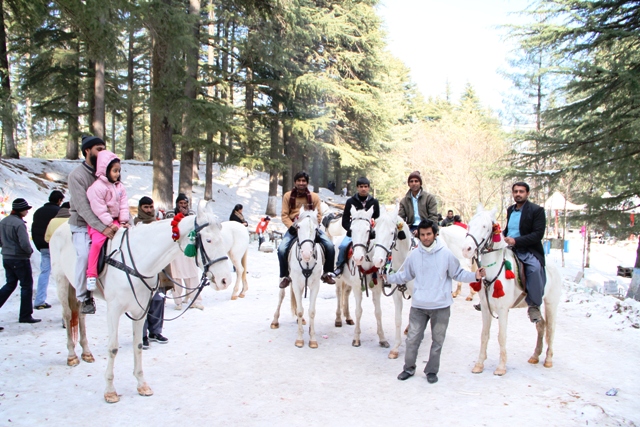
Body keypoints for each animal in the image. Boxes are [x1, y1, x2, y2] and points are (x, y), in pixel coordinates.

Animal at [50, 200, 233, 403]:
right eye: (208, 240)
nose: (225, 280)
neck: (136, 261)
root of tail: (61, 227)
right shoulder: (113, 311)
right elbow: (113, 348)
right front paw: (110, 390)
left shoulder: (140, 310)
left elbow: (137, 345)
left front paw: (141, 384)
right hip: (62, 282)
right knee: (68, 315)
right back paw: (72, 355)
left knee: (80, 317)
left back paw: (86, 352)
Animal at [270, 206, 324, 348]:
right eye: (298, 227)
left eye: (316, 229)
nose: (306, 254)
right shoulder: (296, 284)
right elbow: (300, 310)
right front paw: (300, 339)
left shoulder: (315, 286)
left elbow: (311, 311)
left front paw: (312, 338)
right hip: (284, 279)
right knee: (281, 295)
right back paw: (275, 321)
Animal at [335, 206, 389, 348]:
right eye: (351, 229)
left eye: (368, 230)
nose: (357, 258)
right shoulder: (358, 288)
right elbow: (359, 311)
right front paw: (356, 339)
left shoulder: (376, 289)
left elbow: (378, 312)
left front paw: (383, 339)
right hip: (338, 279)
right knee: (339, 294)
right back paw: (338, 319)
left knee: (346, 293)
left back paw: (348, 317)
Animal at [460, 204, 562, 375]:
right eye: (470, 224)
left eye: (485, 226)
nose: (466, 249)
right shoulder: (486, 308)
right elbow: (484, 335)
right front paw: (479, 364)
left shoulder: (502, 310)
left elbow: (501, 336)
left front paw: (501, 367)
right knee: (541, 325)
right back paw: (535, 356)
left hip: (551, 303)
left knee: (551, 328)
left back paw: (548, 359)